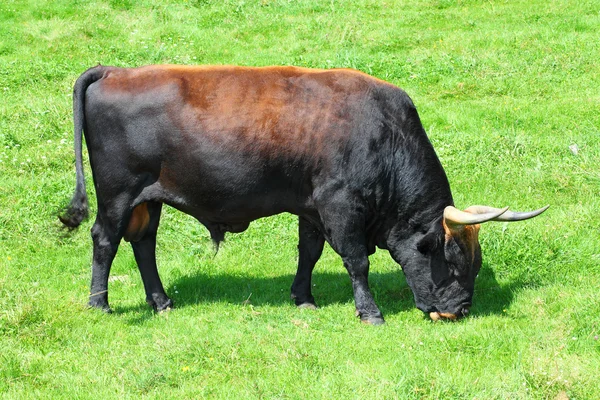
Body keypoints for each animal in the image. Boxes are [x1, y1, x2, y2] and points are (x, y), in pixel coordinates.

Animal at [61, 64, 548, 324]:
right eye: (453, 261)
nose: (460, 311)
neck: (383, 133)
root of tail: (115, 71)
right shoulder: (340, 205)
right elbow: (357, 261)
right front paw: (369, 312)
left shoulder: (312, 206)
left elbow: (308, 252)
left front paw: (304, 297)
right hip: (118, 194)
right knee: (105, 241)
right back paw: (100, 303)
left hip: (148, 199)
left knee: (143, 244)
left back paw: (162, 302)